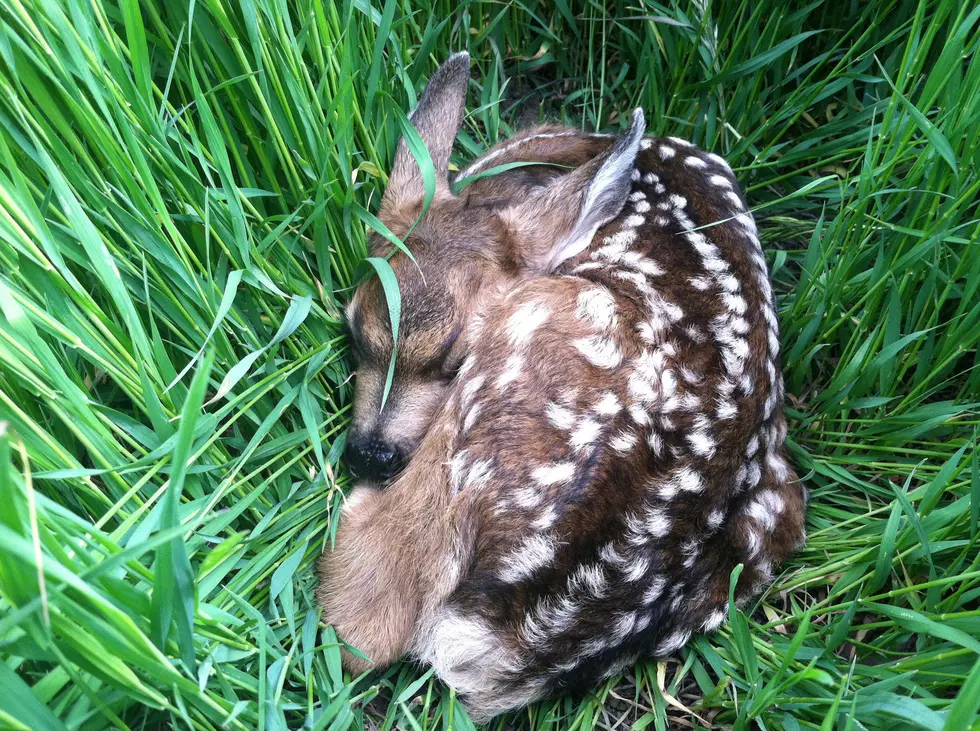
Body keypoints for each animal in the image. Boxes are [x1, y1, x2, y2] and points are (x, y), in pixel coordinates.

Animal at [317, 53, 807, 723]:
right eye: (351, 330)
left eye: (456, 358)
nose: (369, 453)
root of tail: (517, 644)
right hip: (775, 506)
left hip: (522, 352)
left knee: (365, 621)